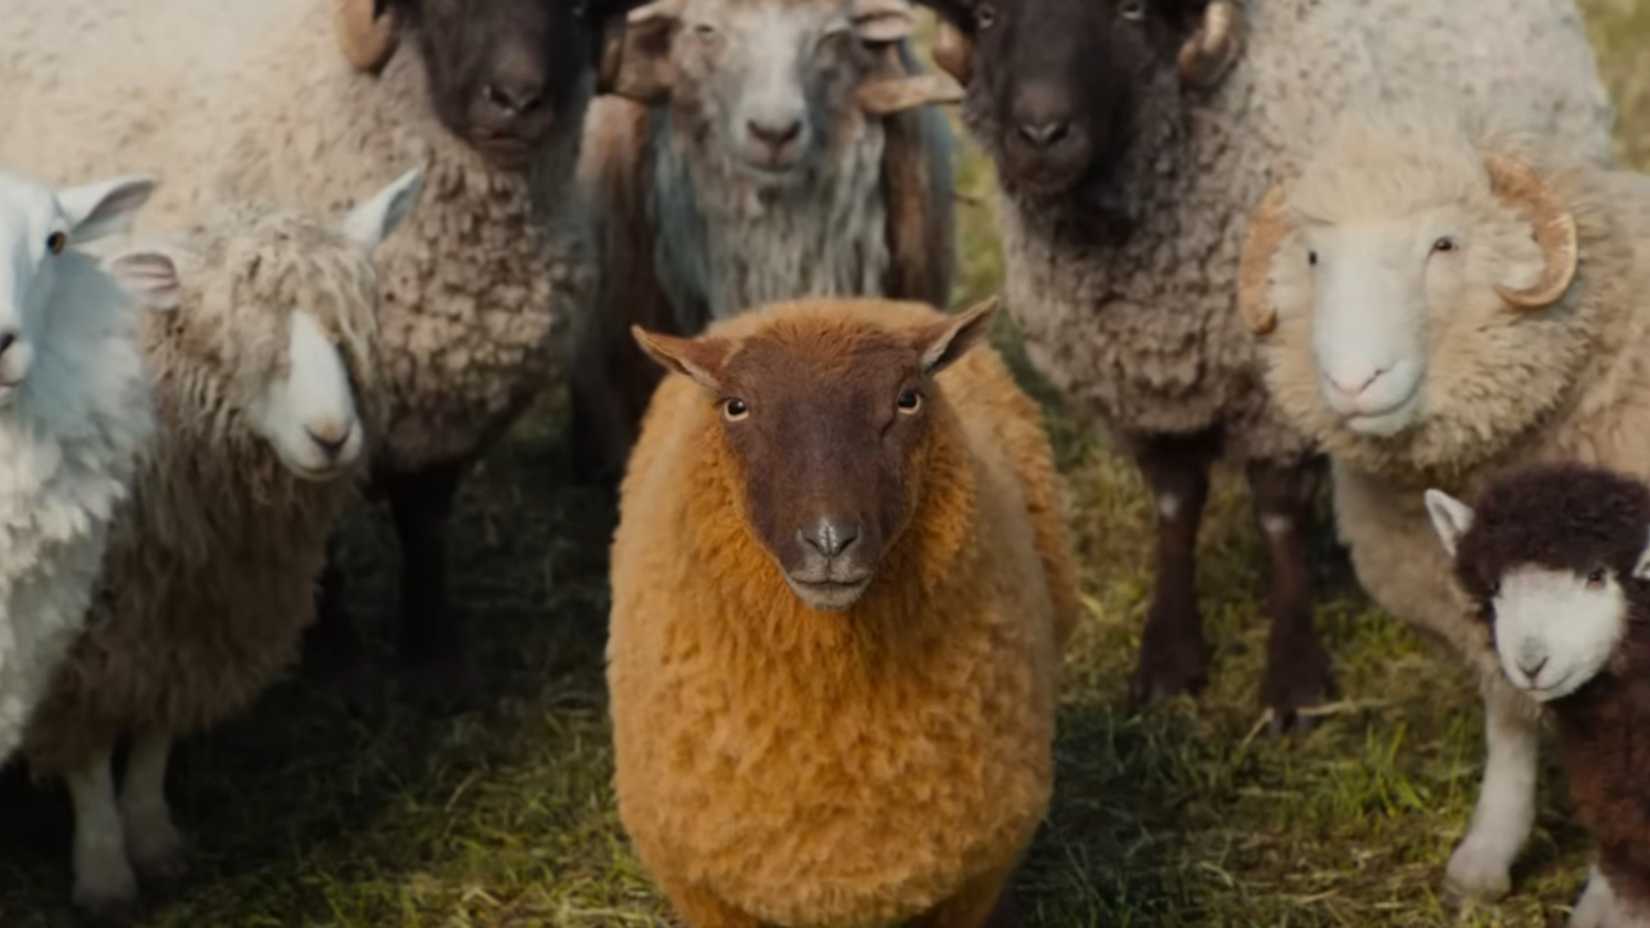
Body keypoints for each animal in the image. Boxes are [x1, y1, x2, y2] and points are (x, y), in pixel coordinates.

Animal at [0, 0, 627, 693]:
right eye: (448, 8)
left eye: (582, 10)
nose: (516, 101)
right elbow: (322, 542)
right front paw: (331, 649)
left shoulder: (446, 419)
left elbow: (426, 527)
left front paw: (433, 655)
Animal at [18, 169, 424, 918]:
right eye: (230, 336)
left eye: (352, 333)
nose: (332, 435)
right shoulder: (77, 644)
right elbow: (89, 758)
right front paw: (104, 873)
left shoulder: (194, 622)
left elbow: (155, 738)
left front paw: (153, 838)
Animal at [607, 296, 1079, 927]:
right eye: (736, 406)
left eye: (908, 399)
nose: (829, 540)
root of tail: (821, 299)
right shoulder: (706, 891)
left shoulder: (972, 881)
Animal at [909, 0, 1616, 736]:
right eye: (987, 16)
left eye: (1130, 12)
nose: (1042, 133)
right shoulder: (1140, 396)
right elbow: (1174, 505)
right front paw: (1168, 662)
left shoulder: (1278, 394)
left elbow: (1278, 516)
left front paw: (1295, 681)